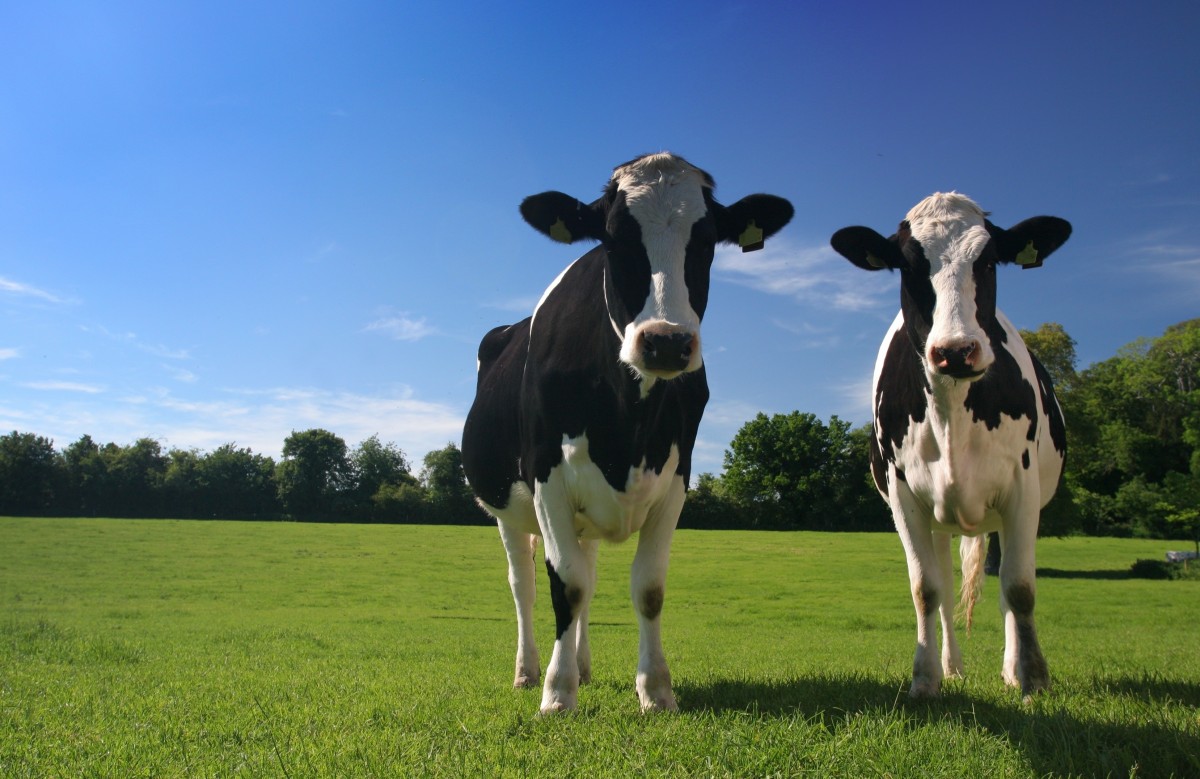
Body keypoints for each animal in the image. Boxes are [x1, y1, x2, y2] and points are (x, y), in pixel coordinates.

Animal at [462, 153, 793, 713]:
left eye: (706, 241)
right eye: (614, 239)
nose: (666, 342)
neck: (628, 427)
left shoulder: (677, 477)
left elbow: (647, 588)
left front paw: (656, 690)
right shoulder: (546, 476)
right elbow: (566, 585)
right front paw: (557, 694)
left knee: (588, 574)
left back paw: (583, 666)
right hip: (506, 507)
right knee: (525, 584)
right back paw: (529, 671)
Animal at [830, 192, 1071, 700]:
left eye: (990, 260)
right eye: (906, 264)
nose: (956, 351)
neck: (952, 415)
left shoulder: (1023, 489)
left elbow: (1020, 587)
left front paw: (1033, 677)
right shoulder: (903, 495)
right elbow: (926, 589)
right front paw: (925, 679)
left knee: (1004, 585)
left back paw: (1009, 667)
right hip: (940, 519)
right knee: (942, 582)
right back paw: (953, 667)